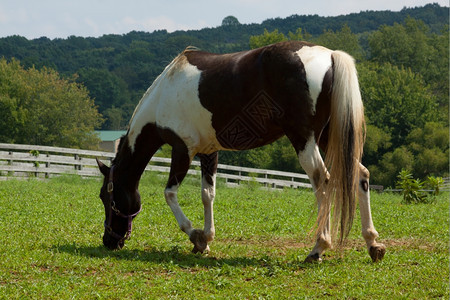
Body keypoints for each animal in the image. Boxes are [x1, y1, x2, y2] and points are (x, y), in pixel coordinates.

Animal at [96, 40, 384, 262]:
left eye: (105, 197)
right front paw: (206, 238)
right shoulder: (208, 152)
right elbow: (207, 194)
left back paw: (318, 248)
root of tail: (330, 56)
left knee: (322, 181)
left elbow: (169, 194)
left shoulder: (182, 149)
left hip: (304, 139)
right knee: (360, 175)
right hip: (326, 137)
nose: (109, 240)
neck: (164, 94)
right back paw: (373, 244)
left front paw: (195, 236)